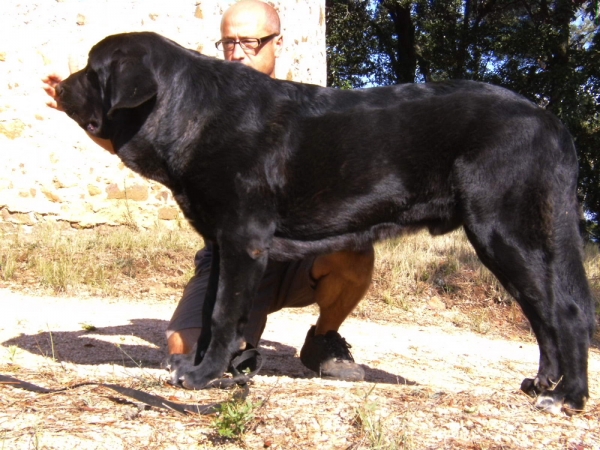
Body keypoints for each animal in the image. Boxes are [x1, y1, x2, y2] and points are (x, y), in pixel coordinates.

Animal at [55, 32, 596, 414]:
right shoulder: (224, 246)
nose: (58, 85)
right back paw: (542, 384)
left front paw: (201, 377)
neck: (191, 111)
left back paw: (566, 397)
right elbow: (211, 314)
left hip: (502, 230)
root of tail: (549, 120)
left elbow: (223, 313)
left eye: (91, 70)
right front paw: (211, 368)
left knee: (565, 312)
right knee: (543, 314)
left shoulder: (242, 240)